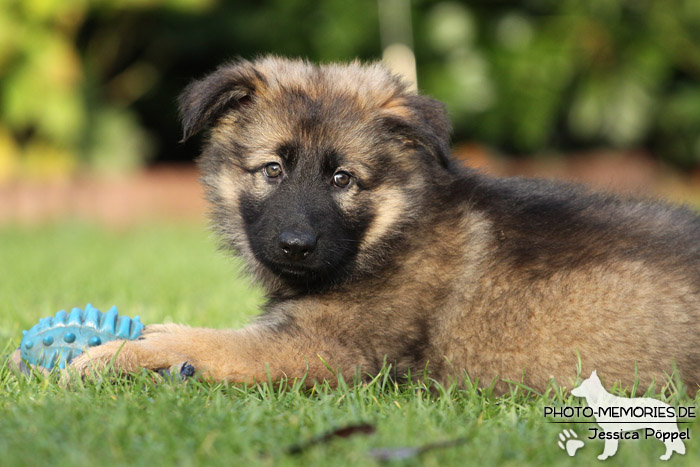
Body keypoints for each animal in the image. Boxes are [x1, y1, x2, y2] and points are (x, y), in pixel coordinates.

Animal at [69, 57, 700, 394]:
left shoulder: (325, 351)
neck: (393, 231)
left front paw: (113, 354)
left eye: (343, 179)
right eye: (272, 169)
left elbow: (208, 344)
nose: (295, 246)